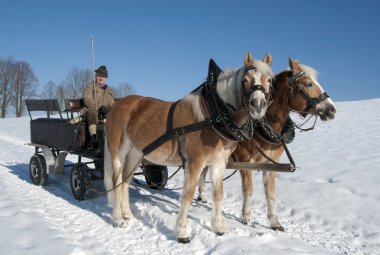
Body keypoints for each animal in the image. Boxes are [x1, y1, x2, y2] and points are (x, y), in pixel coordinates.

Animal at [104, 52, 274, 243]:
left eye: (269, 80)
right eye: (245, 80)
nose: (258, 105)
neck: (214, 115)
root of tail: (116, 105)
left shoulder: (218, 163)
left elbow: (218, 194)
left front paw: (218, 227)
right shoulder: (195, 162)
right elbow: (188, 195)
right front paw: (182, 232)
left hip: (135, 154)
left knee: (125, 181)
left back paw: (127, 215)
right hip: (118, 151)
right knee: (116, 181)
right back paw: (118, 219)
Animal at [197, 57, 336, 231]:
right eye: (308, 84)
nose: (332, 109)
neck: (263, 126)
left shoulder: (271, 165)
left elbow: (270, 193)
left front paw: (274, 222)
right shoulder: (245, 163)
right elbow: (248, 190)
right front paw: (247, 218)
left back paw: (202, 196)